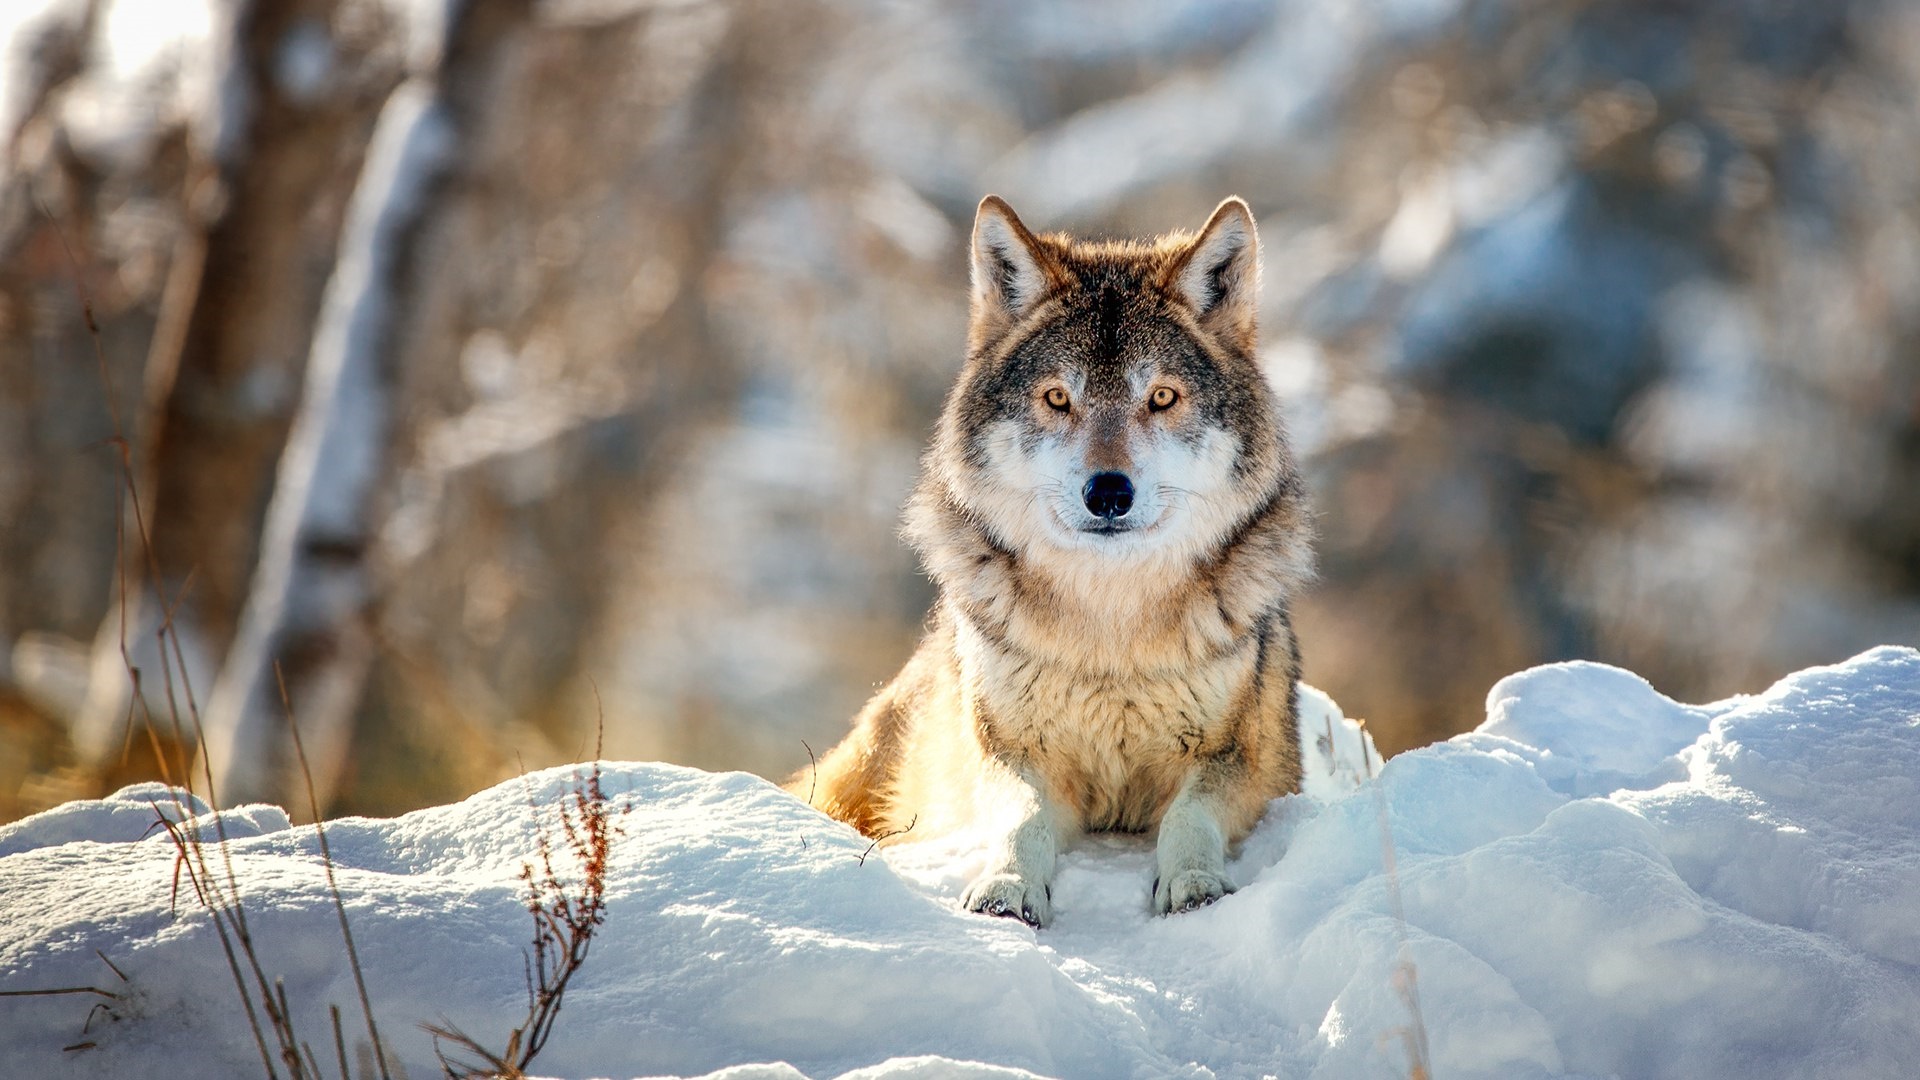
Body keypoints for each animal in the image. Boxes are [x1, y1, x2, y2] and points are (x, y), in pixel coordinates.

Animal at [793, 195, 1313, 926]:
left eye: (1161, 397)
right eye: (1059, 398)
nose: (1108, 491)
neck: (1109, 638)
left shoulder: (1240, 761)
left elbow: (1189, 818)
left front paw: (1193, 883)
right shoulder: (1008, 755)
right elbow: (1022, 821)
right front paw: (1007, 888)